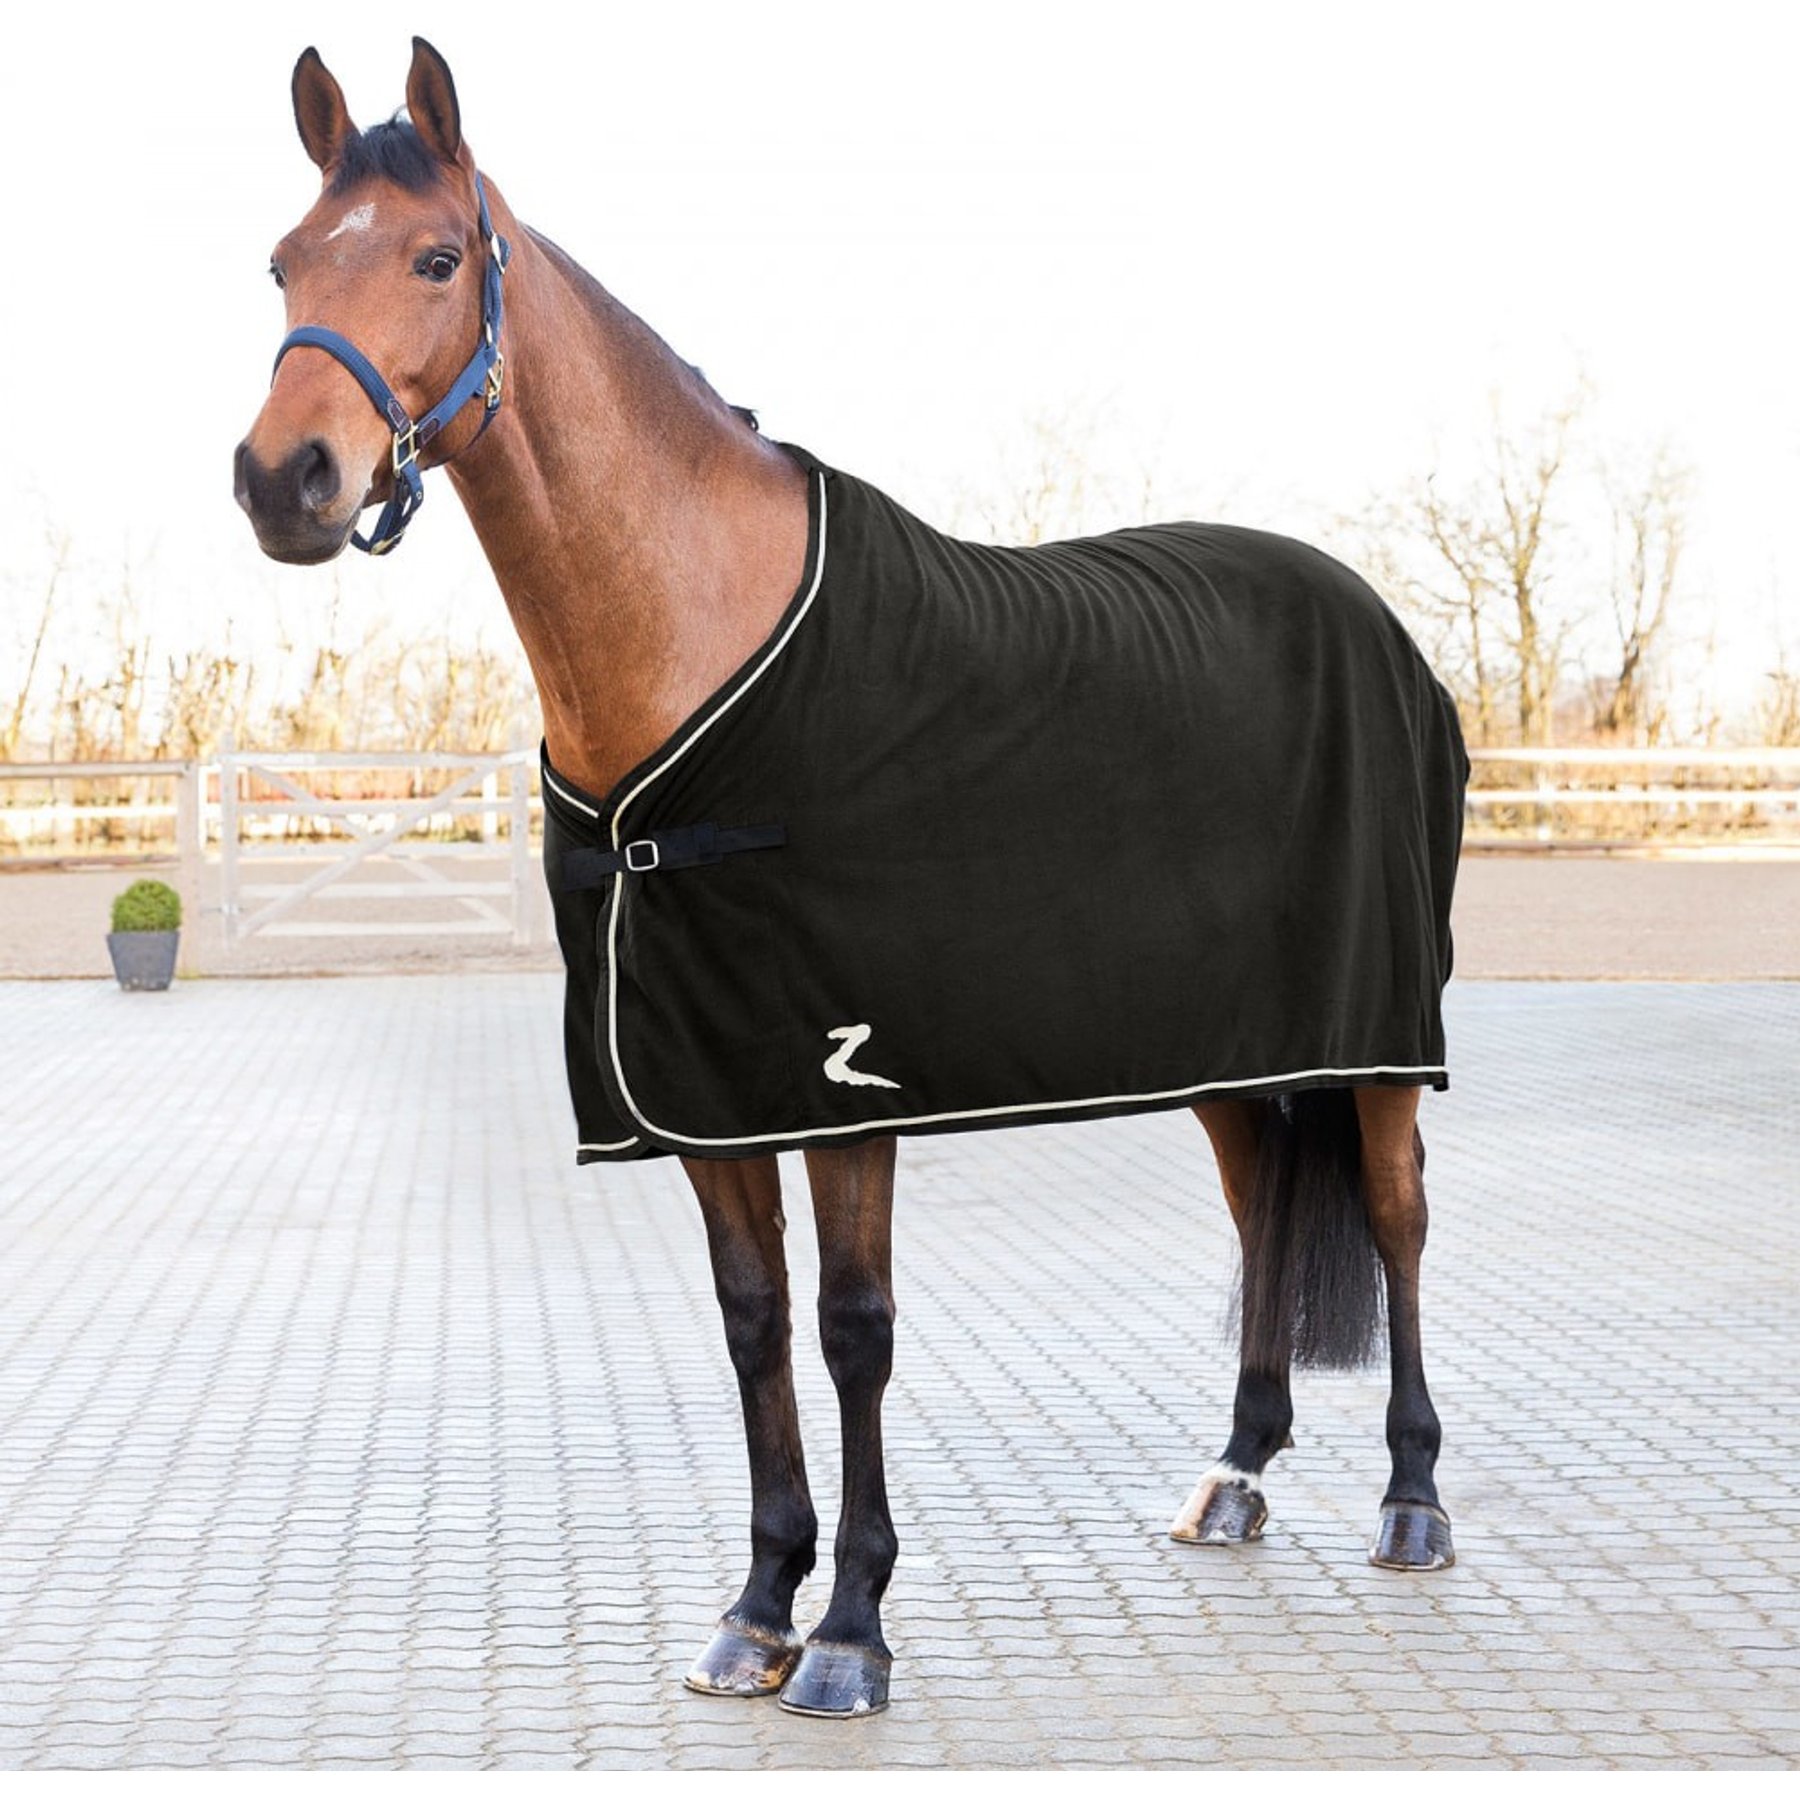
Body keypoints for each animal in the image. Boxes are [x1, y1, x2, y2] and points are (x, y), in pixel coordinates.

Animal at [235, 38, 1465, 1719]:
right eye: (286, 263)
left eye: (432, 258)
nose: (280, 479)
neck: (698, 648)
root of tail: (1374, 618)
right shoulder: (698, 1091)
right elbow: (754, 1325)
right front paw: (758, 1606)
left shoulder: (842, 1084)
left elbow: (852, 1329)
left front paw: (850, 1633)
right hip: (1228, 1045)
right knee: (1262, 1196)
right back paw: (1235, 1475)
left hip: (1386, 1031)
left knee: (1398, 1216)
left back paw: (1413, 1501)